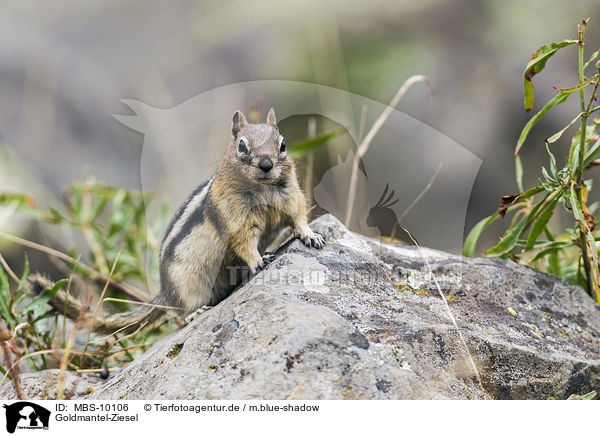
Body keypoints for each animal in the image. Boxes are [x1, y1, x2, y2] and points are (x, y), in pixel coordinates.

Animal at [29, 108, 324, 330]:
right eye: (241, 145)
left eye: (282, 144)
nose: (265, 164)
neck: (262, 190)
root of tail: (165, 291)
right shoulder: (235, 220)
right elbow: (244, 243)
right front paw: (259, 260)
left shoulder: (292, 197)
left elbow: (298, 217)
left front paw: (311, 236)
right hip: (189, 286)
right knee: (178, 313)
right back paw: (194, 314)